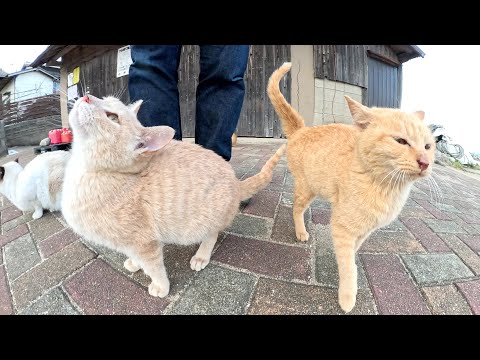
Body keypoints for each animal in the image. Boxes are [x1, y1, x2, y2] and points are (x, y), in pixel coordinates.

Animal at [60, 93, 284, 298]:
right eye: (104, 98)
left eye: (113, 117)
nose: (87, 96)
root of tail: (236, 182)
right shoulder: (130, 242)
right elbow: (135, 256)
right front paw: (134, 263)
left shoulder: (144, 242)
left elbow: (154, 267)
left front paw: (160, 286)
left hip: (205, 220)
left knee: (211, 234)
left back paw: (201, 256)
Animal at [266, 62, 436, 312]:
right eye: (401, 141)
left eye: (428, 146)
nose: (424, 162)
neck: (387, 188)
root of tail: (302, 129)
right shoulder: (342, 226)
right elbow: (349, 268)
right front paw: (347, 296)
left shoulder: (366, 230)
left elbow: (353, 252)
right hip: (307, 189)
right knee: (296, 209)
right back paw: (301, 232)